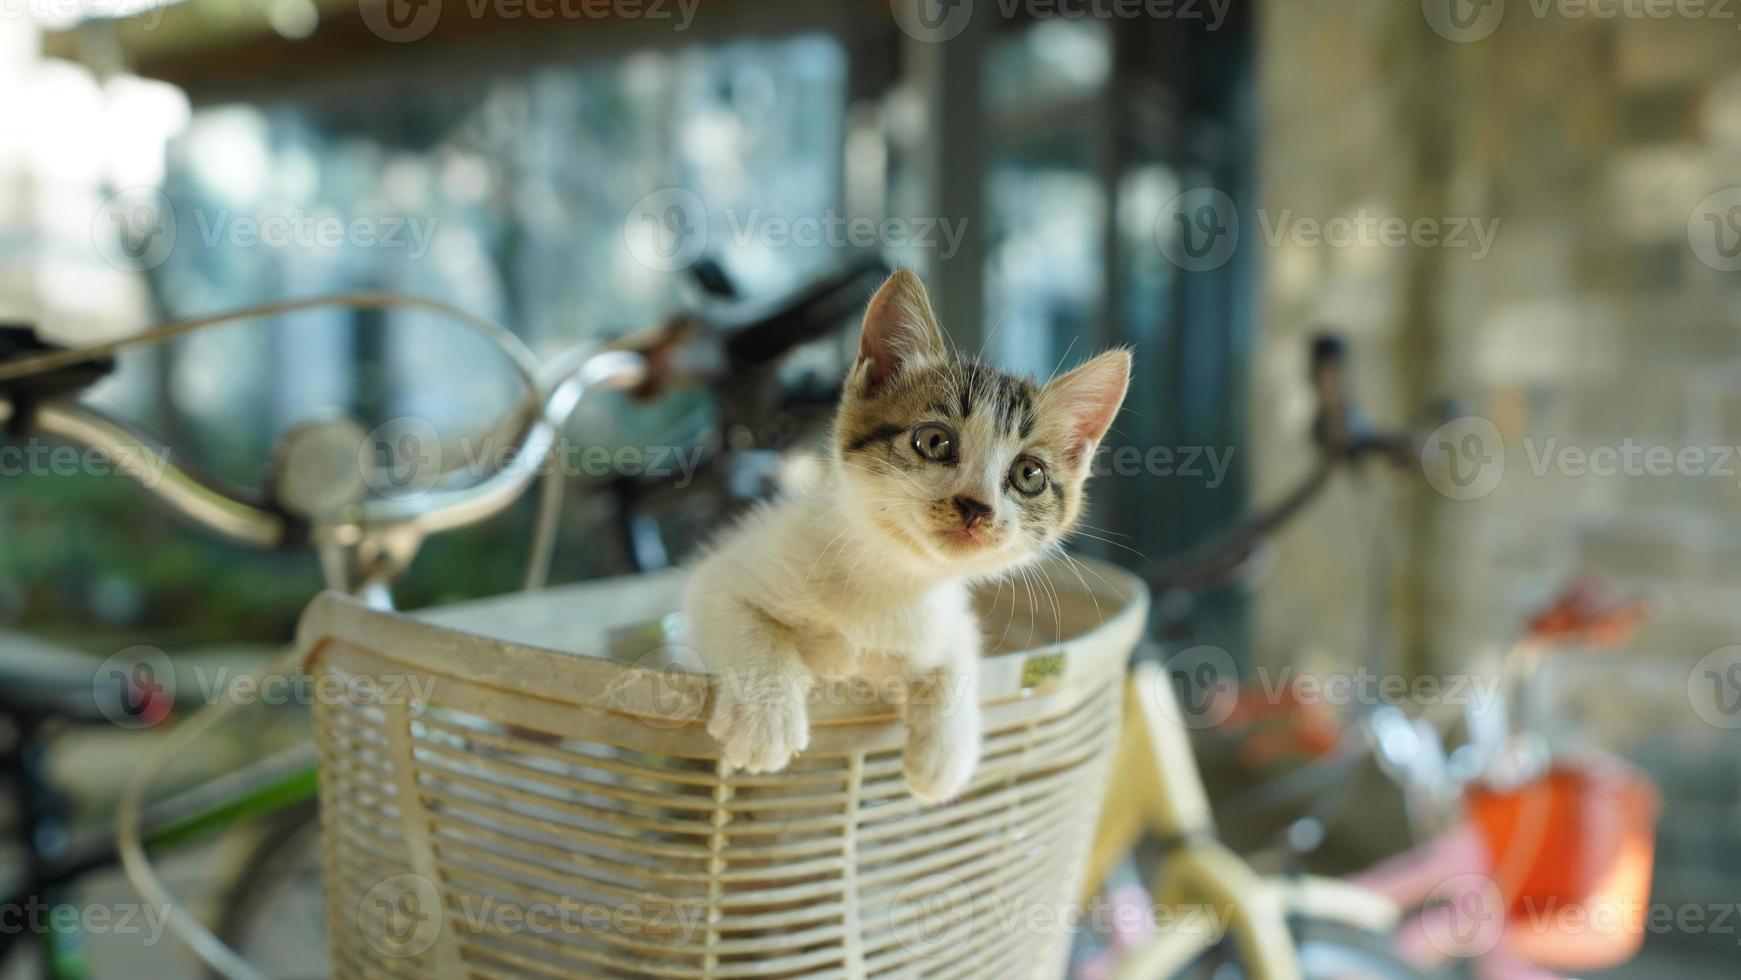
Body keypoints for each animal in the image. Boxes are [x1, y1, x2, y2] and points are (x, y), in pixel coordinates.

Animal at [678, 269, 1128, 804]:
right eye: (934, 441)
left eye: (1029, 475)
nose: (976, 506)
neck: (892, 575)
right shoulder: (719, 576)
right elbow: (746, 623)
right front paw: (766, 722)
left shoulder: (946, 618)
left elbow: (956, 656)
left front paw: (944, 757)